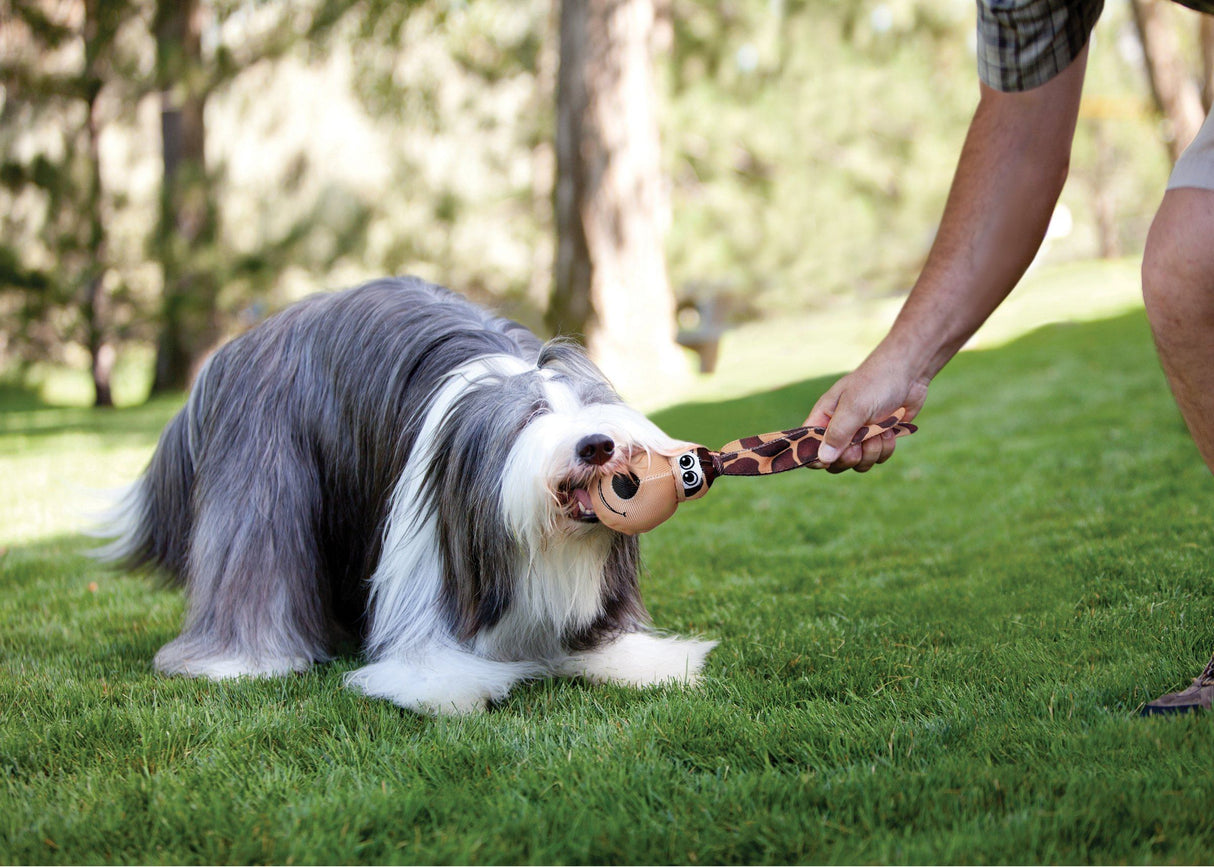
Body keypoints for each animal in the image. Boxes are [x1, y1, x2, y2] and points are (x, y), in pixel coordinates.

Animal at [101, 275, 718, 709]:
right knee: (255, 557)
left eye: (592, 406)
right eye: (532, 415)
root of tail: (242, 345)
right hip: (263, 468)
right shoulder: (422, 556)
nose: (597, 446)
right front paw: (446, 682)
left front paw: (638, 660)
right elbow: (428, 655)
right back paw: (240, 660)